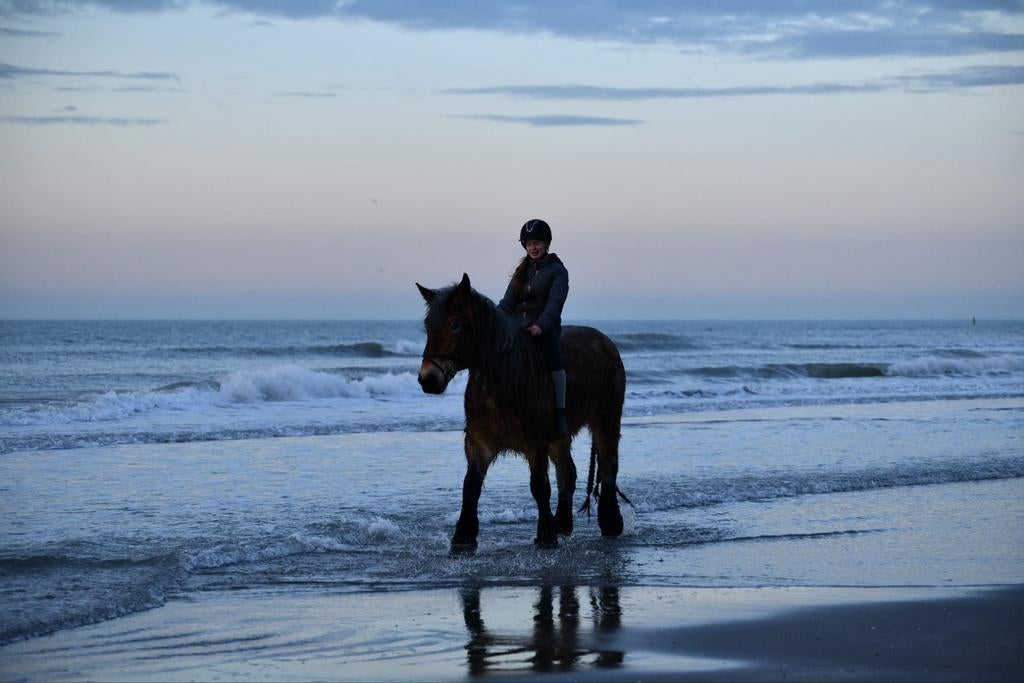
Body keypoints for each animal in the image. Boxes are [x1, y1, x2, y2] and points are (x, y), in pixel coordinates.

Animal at [416, 273, 627, 552]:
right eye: (428, 326)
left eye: (455, 325)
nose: (428, 380)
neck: (504, 379)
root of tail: (605, 341)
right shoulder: (478, 443)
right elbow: (470, 487)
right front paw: (463, 538)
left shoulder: (535, 443)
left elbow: (539, 486)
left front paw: (546, 536)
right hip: (559, 437)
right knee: (567, 473)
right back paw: (562, 524)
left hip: (606, 419)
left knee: (608, 466)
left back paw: (610, 523)